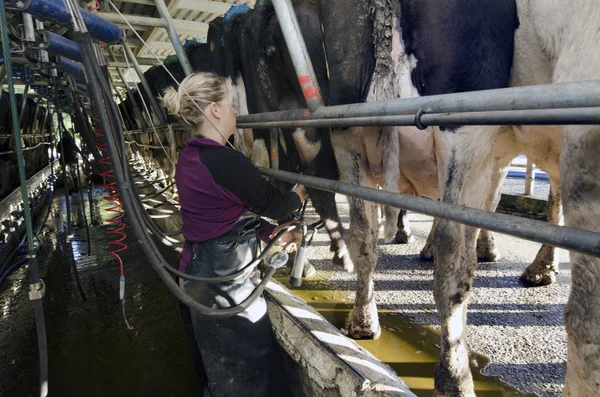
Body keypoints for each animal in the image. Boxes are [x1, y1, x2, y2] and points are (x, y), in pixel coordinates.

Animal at [316, 0, 596, 394]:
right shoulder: (497, 153)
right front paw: (512, 259)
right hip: (469, 122)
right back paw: (455, 376)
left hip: (348, 130)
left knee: (363, 236)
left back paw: (363, 321)